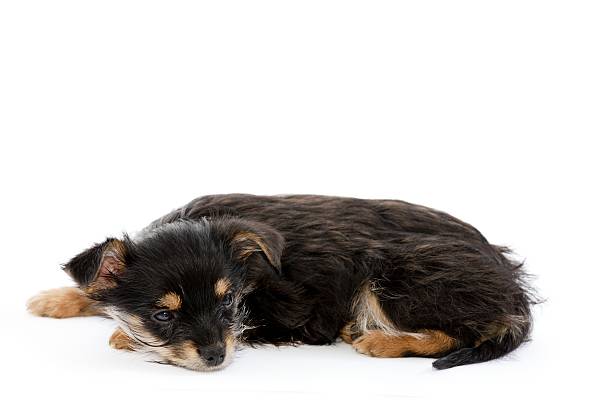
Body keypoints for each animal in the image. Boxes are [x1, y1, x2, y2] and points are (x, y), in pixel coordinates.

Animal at [27, 194, 536, 370]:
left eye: (229, 303)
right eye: (163, 314)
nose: (215, 358)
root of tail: (513, 292)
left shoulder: (288, 313)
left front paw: (123, 335)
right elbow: (95, 290)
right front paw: (58, 298)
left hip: (396, 271)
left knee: (462, 332)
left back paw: (381, 340)